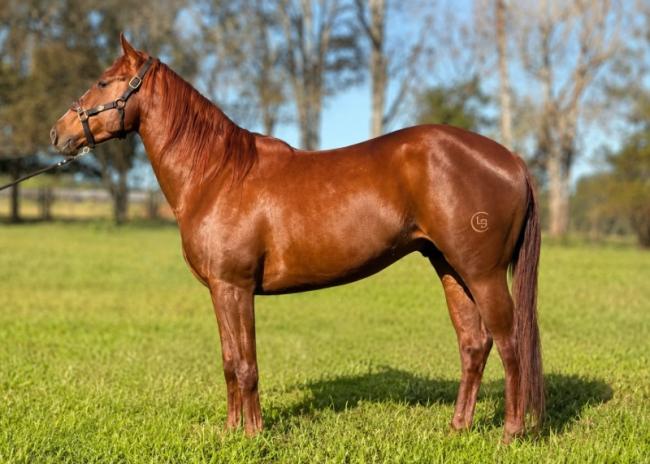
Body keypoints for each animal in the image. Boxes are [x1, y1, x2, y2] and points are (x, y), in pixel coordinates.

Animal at [50, 34, 543, 442]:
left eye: (103, 81)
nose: (58, 133)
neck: (216, 174)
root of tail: (510, 159)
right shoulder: (220, 291)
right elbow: (229, 363)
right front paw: (231, 432)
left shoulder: (235, 287)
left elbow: (246, 365)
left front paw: (253, 435)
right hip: (450, 269)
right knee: (474, 344)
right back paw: (458, 427)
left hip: (483, 275)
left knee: (510, 344)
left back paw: (511, 433)